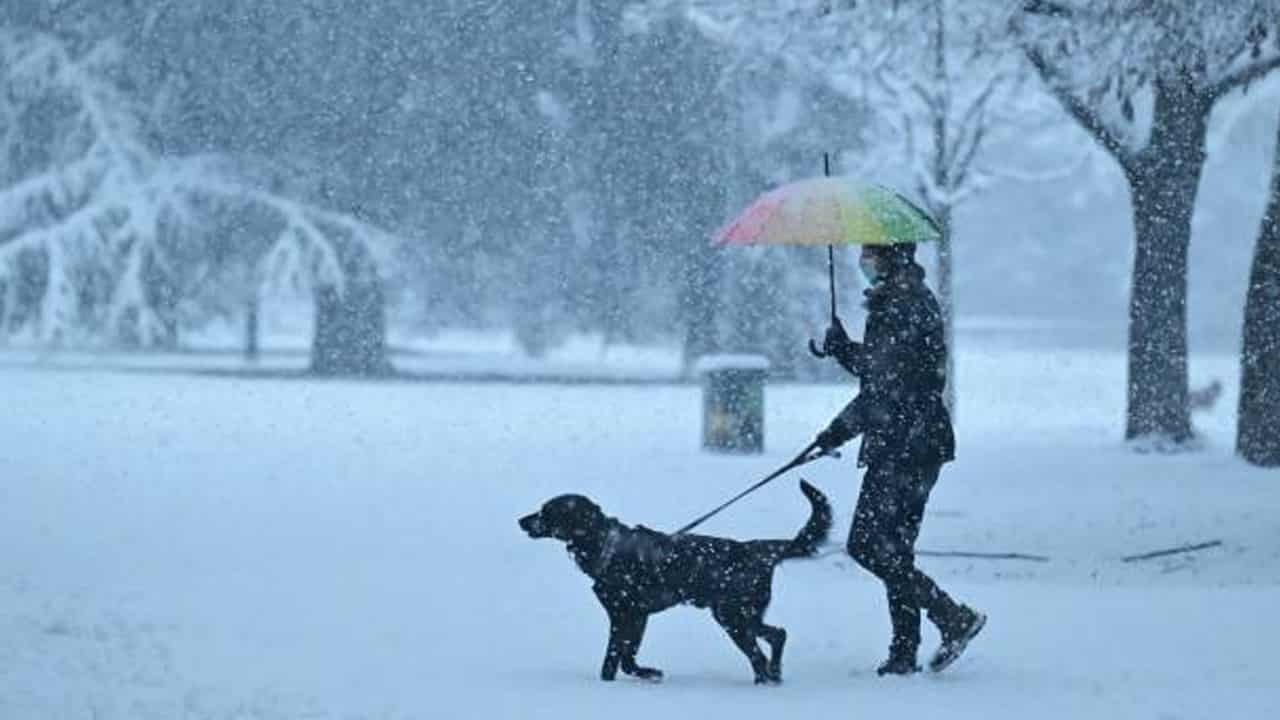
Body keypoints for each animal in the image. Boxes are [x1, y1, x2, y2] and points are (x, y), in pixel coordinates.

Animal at [517, 479, 829, 681]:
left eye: (546, 511)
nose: (521, 521)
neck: (604, 544)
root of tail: (754, 549)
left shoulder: (623, 614)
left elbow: (613, 658)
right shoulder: (638, 616)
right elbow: (627, 657)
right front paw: (647, 673)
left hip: (733, 617)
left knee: (761, 652)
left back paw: (766, 679)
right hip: (744, 615)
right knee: (777, 635)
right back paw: (773, 675)